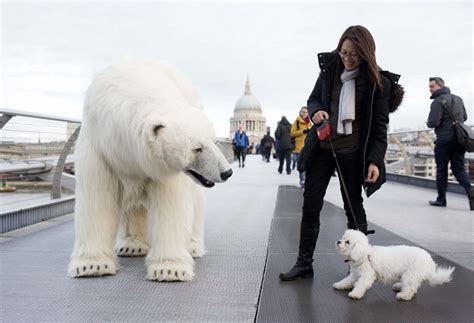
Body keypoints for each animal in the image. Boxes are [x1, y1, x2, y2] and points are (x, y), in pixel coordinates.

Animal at [68, 59, 233, 282]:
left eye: (214, 141)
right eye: (197, 148)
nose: (226, 172)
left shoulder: (164, 167)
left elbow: (171, 204)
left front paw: (170, 270)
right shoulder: (100, 148)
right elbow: (98, 199)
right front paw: (92, 266)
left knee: (195, 201)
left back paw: (192, 246)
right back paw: (132, 245)